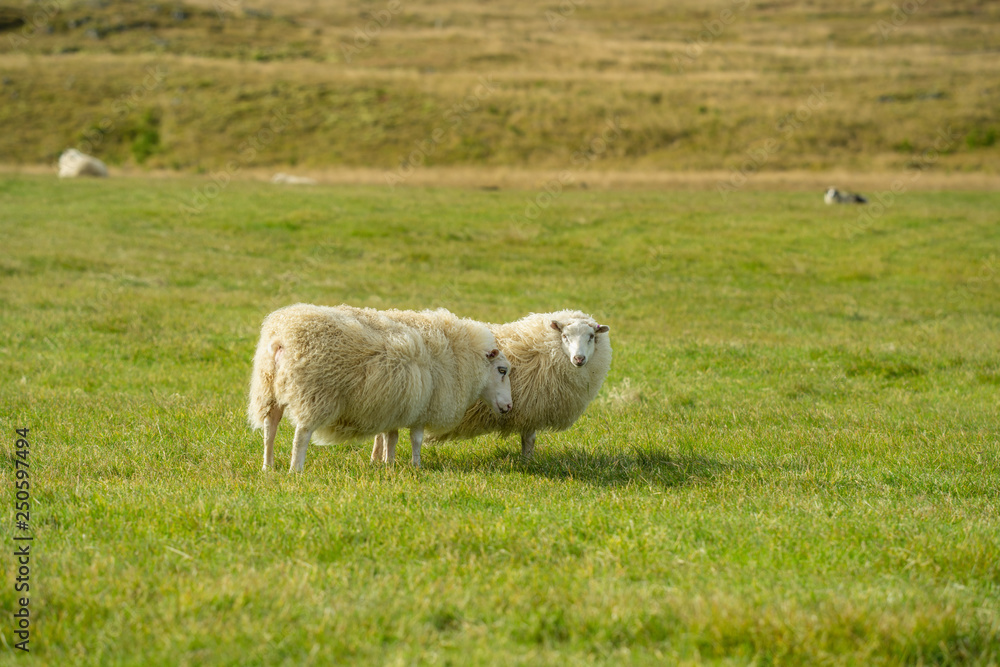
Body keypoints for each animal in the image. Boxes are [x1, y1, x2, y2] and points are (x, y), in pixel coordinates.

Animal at [247, 303, 512, 473]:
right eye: (502, 370)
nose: (509, 406)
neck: (460, 353)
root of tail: (280, 339)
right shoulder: (422, 404)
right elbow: (415, 439)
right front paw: (416, 465)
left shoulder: (393, 402)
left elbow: (389, 436)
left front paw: (384, 462)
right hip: (313, 395)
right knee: (301, 434)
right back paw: (295, 469)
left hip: (268, 390)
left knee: (270, 428)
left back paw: (268, 466)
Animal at [428, 310, 611, 457]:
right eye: (565, 336)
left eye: (591, 337)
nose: (579, 358)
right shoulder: (530, 409)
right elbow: (529, 440)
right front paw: (528, 461)